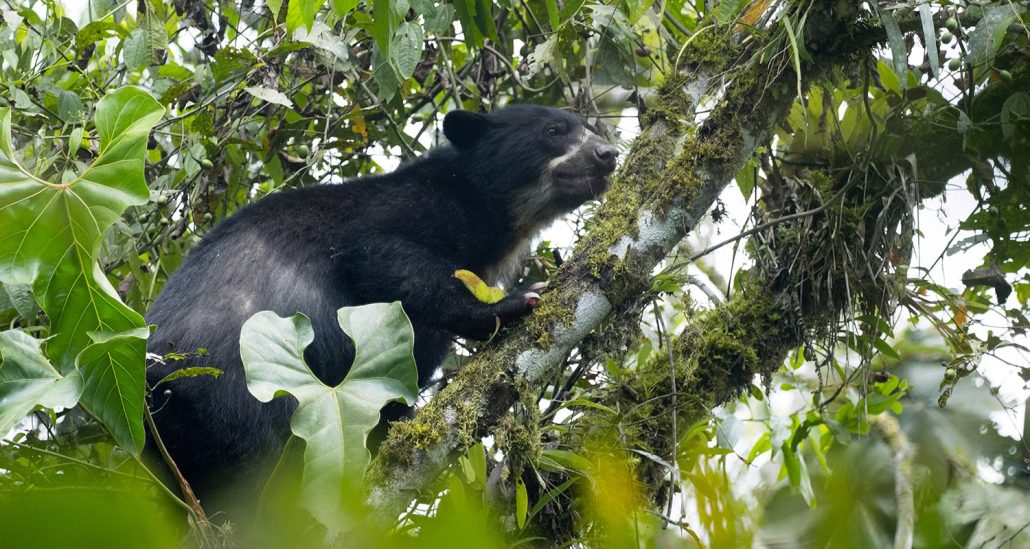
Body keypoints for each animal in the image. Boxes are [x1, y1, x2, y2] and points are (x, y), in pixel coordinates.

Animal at [145, 106, 618, 508]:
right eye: (553, 130)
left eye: (591, 127)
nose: (609, 153)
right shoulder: (408, 213)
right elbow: (377, 257)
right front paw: (512, 302)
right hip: (236, 393)